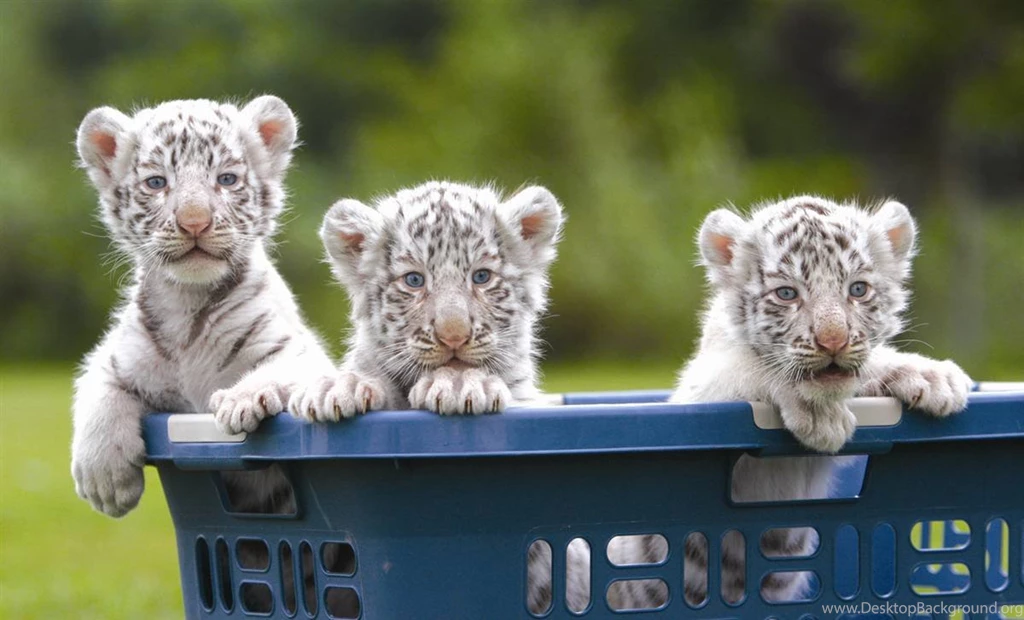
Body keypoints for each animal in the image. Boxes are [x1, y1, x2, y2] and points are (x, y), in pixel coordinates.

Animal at [289, 180, 564, 420]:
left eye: (481, 276)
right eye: (414, 280)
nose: (454, 337)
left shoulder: (527, 398)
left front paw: (459, 384)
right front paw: (340, 385)